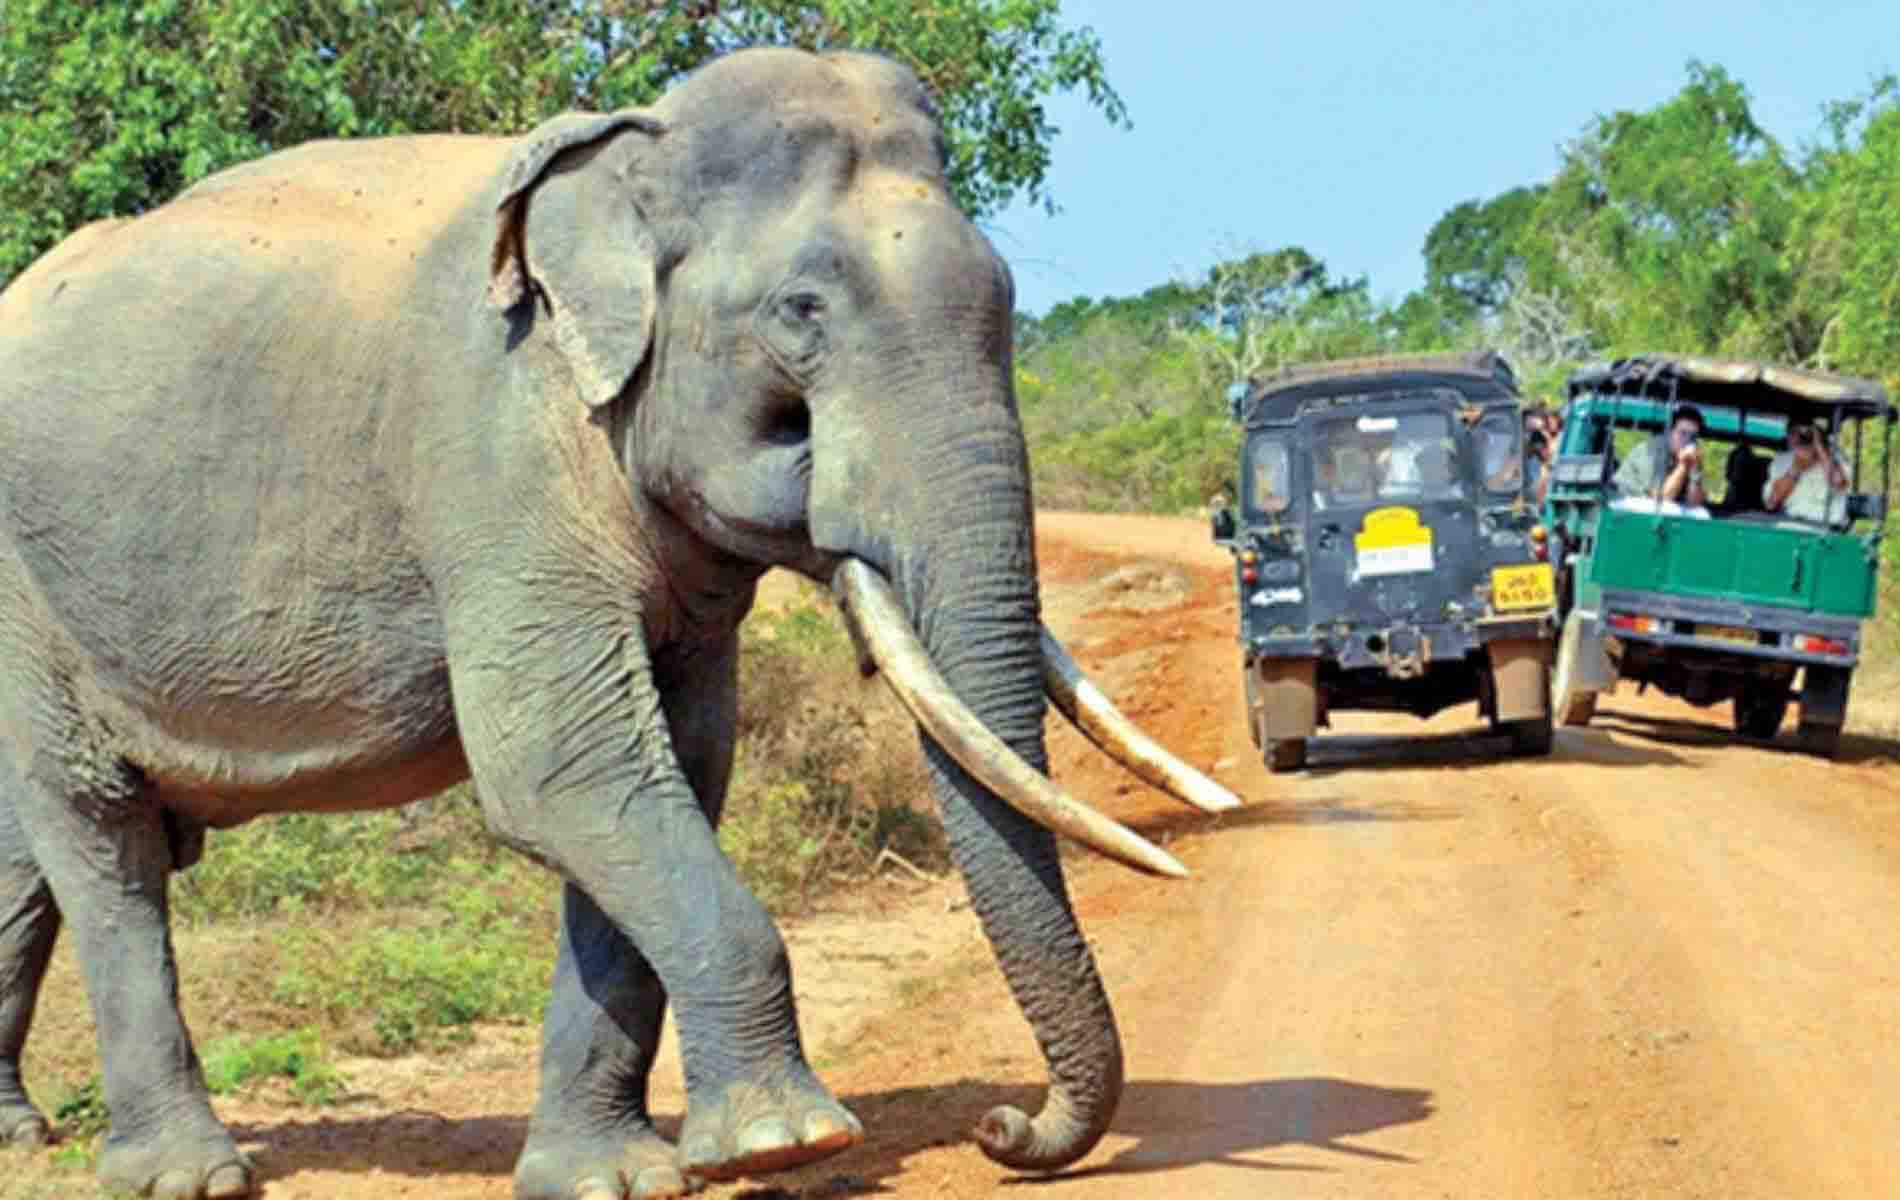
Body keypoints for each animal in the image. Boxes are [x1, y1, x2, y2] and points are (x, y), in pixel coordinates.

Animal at [0, 46, 1231, 1200]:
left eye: (1007, 297)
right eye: (802, 312)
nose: (1004, 1128)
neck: (627, 160)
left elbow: (675, 766)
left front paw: (608, 1177)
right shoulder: (493, 457)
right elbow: (564, 770)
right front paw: (789, 1142)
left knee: (28, 853)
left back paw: (22, 1135)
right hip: (26, 591)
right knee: (102, 835)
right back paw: (185, 1174)